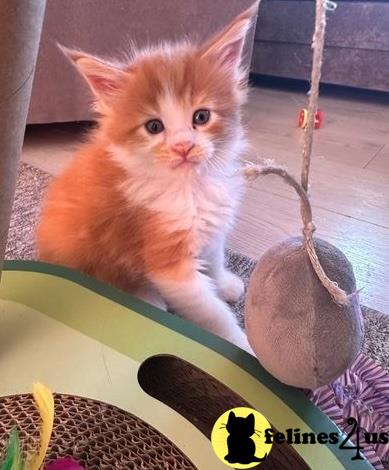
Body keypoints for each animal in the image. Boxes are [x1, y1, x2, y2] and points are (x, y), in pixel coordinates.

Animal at [36, 4, 256, 352]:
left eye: (201, 117)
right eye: (154, 127)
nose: (183, 146)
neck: (190, 187)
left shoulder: (211, 225)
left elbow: (214, 256)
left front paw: (223, 283)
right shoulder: (167, 260)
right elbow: (212, 313)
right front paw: (241, 346)